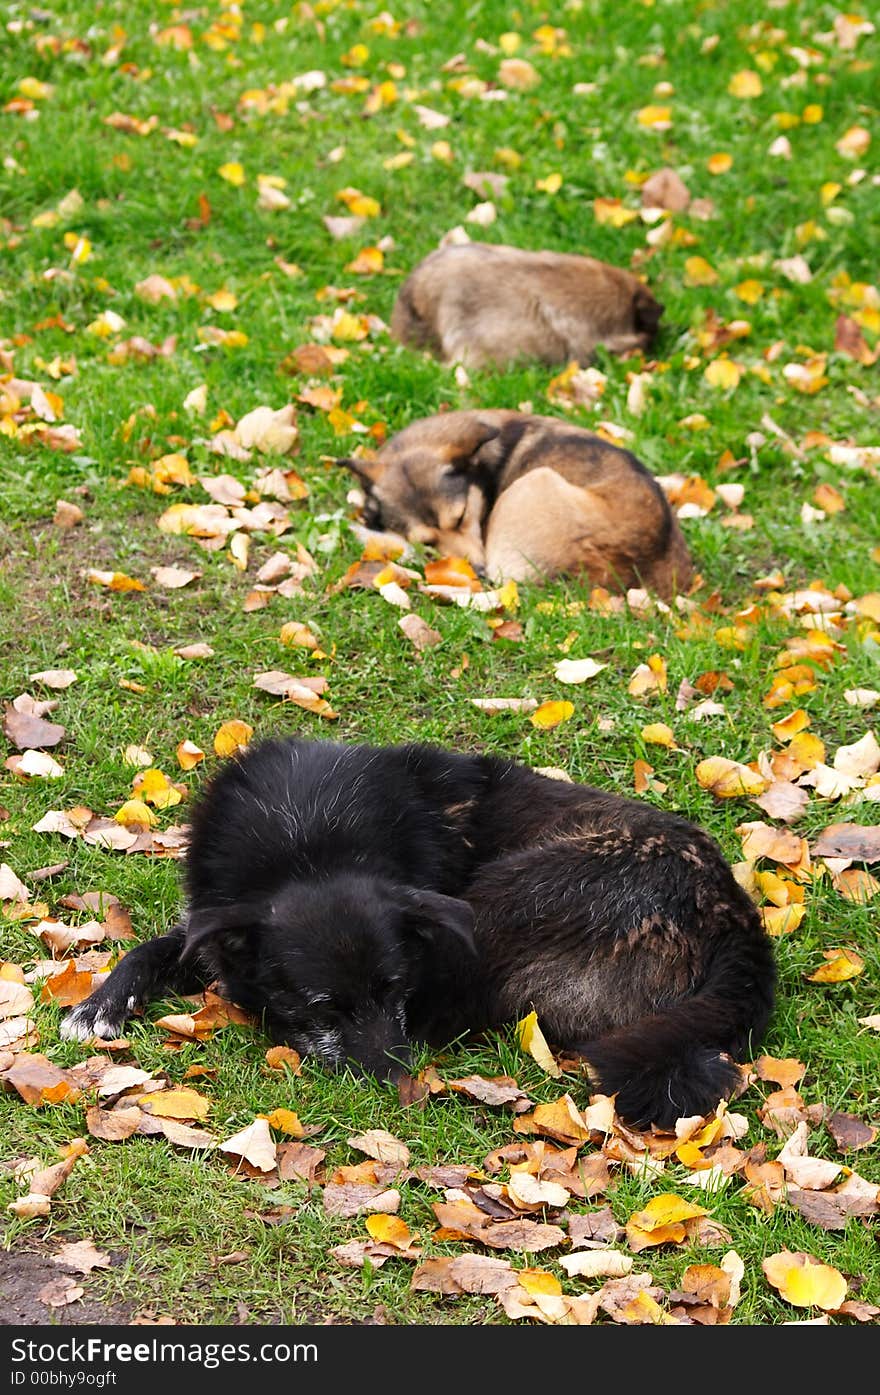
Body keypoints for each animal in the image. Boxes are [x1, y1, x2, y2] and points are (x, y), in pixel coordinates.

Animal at [62, 736, 775, 1127]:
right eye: (324, 1005)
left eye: (395, 988)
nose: (398, 1086)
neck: (307, 843)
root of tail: (734, 916)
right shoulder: (216, 916)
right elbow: (163, 945)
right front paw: (101, 1002)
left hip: (500, 900)